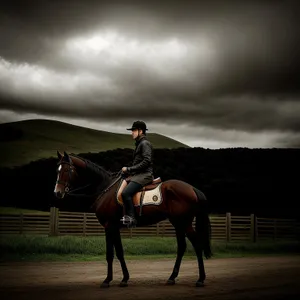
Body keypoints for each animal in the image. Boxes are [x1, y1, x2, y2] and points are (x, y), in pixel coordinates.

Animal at [54, 151, 213, 288]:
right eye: (58, 170)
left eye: (66, 170)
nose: (57, 193)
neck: (105, 188)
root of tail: (192, 188)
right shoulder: (115, 227)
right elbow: (119, 252)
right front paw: (124, 279)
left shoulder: (108, 226)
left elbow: (110, 254)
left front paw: (107, 280)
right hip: (178, 223)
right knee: (182, 247)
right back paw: (172, 278)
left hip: (184, 222)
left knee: (197, 244)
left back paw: (200, 279)